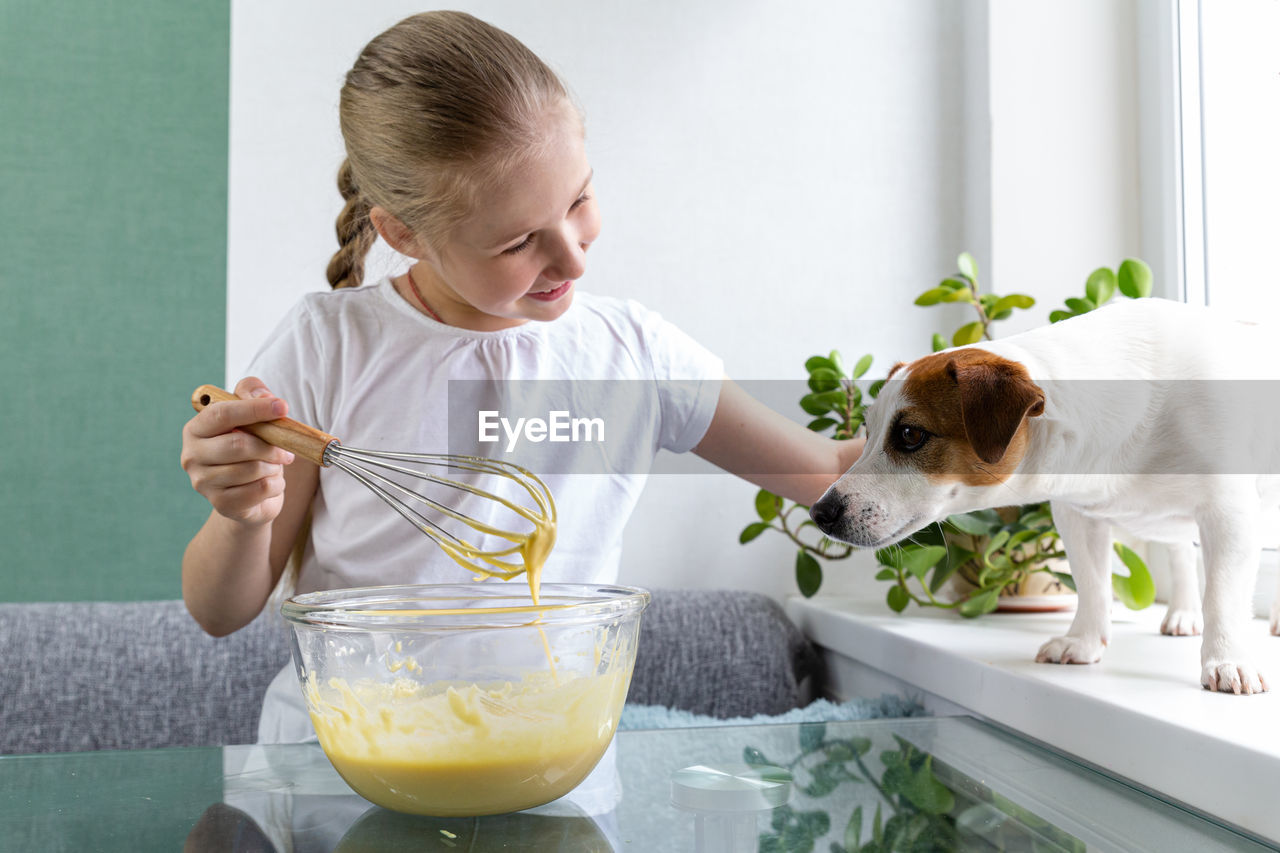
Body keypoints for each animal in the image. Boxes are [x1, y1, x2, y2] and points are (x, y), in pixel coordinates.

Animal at [808, 297, 1280, 691]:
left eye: (909, 434)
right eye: (867, 433)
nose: (820, 512)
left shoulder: (1229, 513)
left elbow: (1223, 594)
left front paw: (1227, 659)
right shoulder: (1078, 516)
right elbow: (1091, 584)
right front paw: (1083, 642)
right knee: (1180, 553)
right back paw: (1183, 611)